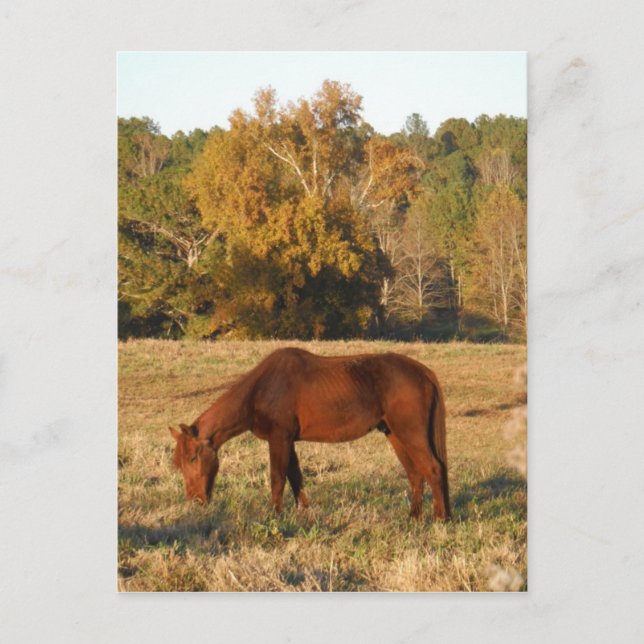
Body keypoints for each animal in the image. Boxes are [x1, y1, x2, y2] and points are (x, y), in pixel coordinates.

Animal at [169, 347, 450, 520]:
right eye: (180, 464)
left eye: (193, 458)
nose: (195, 502)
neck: (262, 389)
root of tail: (422, 372)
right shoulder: (288, 441)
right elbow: (295, 477)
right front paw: (302, 511)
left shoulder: (279, 438)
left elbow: (277, 478)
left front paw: (276, 516)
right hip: (395, 434)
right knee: (415, 474)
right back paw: (414, 517)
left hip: (410, 433)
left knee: (433, 469)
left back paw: (440, 519)